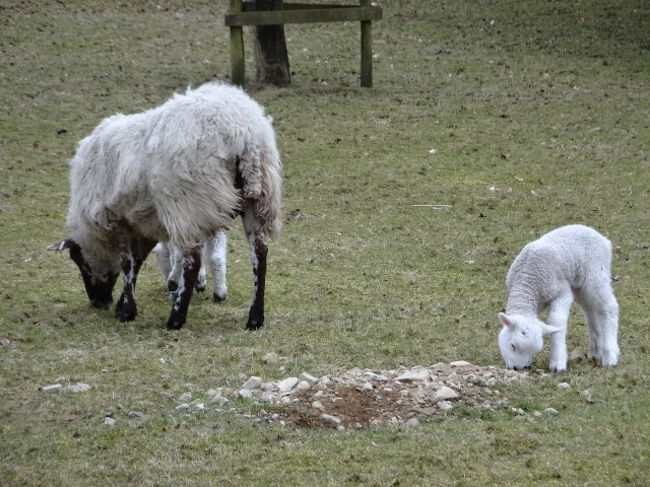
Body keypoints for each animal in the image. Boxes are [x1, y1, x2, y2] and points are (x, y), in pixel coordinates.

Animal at [49, 82, 282, 332]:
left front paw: (126, 310)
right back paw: (255, 318)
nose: (98, 302)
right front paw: (124, 305)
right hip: (258, 197)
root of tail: (244, 132)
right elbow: (138, 260)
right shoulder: (143, 221)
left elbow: (128, 263)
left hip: (191, 203)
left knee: (193, 260)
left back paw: (176, 318)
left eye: (78, 261)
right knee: (260, 253)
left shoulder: (117, 219)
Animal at [496, 226, 616, 374]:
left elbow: (555, 321)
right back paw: (596, 352)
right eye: (512, 346)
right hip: (580, 286)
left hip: (596, 275)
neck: (527, 282)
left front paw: (557, 362)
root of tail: (604, 239)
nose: (517, 368)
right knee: (591, 311)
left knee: (610, 307)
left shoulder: (562, 292)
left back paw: (610, 356)